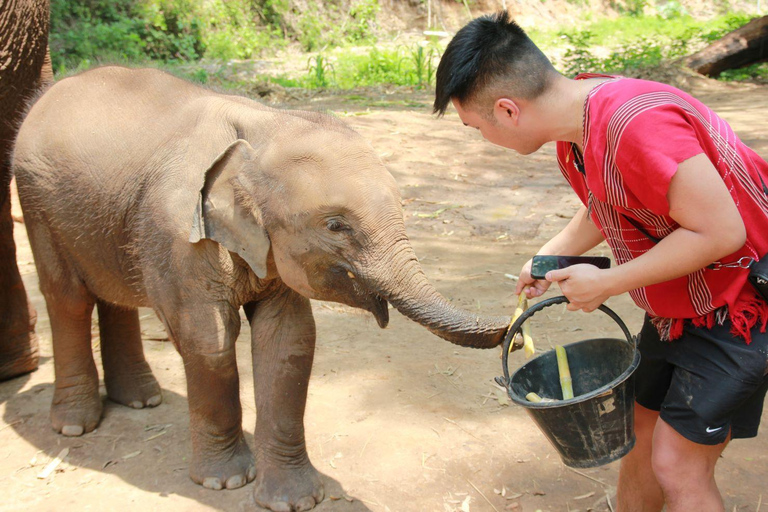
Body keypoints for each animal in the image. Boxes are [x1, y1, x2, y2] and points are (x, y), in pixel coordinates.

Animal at [10, 68, 510, 512]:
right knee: (69, 297)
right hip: (35, 196)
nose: (513, 328)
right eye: (336, 225)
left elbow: (288, 340)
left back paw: (141, 400)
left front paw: (295, 501)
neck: (264, 125)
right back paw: (75, 427)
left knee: (112, 295)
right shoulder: (179, 232)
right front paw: (225, 482)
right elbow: (207, 340)